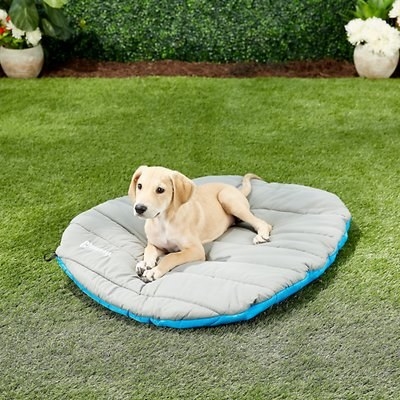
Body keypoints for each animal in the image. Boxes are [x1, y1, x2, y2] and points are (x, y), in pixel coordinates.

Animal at [128, 166, 272, 282]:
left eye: (160, 190)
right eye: (139, 186)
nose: (139, 208)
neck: (163, 221)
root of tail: (237, 190)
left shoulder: (196, 250)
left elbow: (172, 256)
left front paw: (154, 271)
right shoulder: (156, 244)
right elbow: (149, 249)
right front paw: (145, 263)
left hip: (228, 199)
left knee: (263, 223)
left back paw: (261, 235)